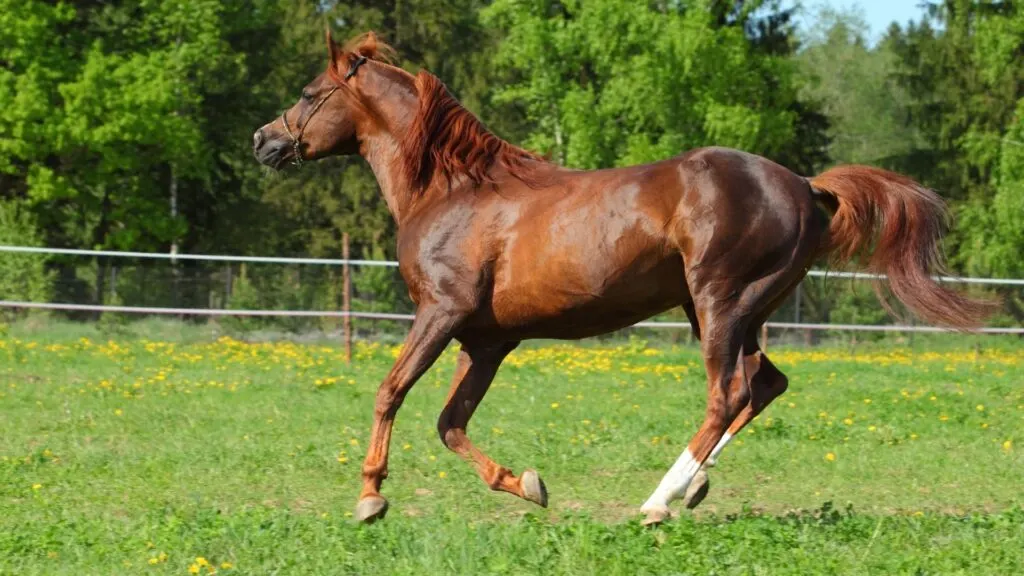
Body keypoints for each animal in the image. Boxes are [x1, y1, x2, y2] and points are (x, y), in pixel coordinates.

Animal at [252, 30, 993, 525]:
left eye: (309, 93)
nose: (264, 141)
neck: (453, 191)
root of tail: (806, 187)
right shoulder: (487, 342)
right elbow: (449, 423)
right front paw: (527, 484)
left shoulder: (441, 313)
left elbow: (391, 392)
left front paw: (370, 496)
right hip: (738, 309)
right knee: (765, 383)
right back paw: (694, 487)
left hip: (720, 303)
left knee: (727, 393)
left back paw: (658, 501)